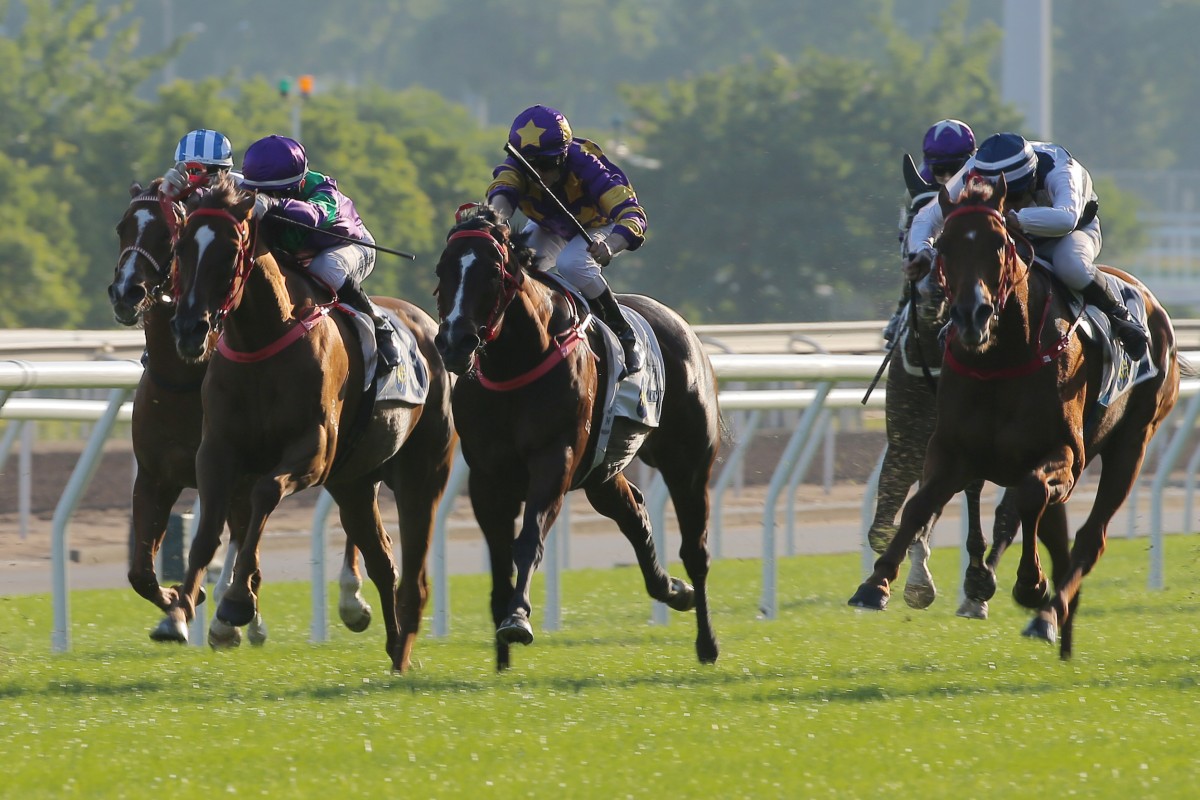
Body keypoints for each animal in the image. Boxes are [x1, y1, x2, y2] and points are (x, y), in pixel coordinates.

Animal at [112, 184, 374, 647]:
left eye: (167, 234)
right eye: (123, 227)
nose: (127, 292)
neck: (183, 380)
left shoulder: (243, 473)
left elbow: (237, 536)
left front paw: (227, 611)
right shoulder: (158, 474)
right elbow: (141, 571)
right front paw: (180, 606)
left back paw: (351, 597)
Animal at [162, 178, 456, 671]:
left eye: (229, 251)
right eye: (181, 247)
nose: (188, 329)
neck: (261, 341)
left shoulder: (314, 452)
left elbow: (263, 494)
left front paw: (236, 603)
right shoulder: (218, 450)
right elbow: (206, 531)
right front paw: (179, 613)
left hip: (423, 472)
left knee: (412, 568)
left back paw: (403, 651)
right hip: (353, 483)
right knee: (382, 559)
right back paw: (394, 644)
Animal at [434, 208, 720, 671]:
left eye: (493, 272)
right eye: (442, 270)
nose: (454, 342)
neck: (515, 363)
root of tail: (683, 327)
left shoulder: (555, 459)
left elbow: (527, 540)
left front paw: (517, 619)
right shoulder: (487, 477)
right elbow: (499, 557)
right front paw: (501, 656)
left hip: (688, 462)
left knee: (696, 550)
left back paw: (707, 642)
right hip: (602, 471)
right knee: (634, 513)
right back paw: (675, 591)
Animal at [854, 175, 1180, 657]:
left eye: (999, 244)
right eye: (944, 244)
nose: (970, 315)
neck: (1002, 357)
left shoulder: (1063, 454)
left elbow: (1027, 497)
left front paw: (1027, 584)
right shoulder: (949, 448)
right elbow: (917, 507)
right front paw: (876, 584)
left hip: (1132, 443)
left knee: (1089, 538)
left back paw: (1047, 615)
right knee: (1058, 535)